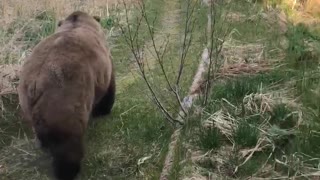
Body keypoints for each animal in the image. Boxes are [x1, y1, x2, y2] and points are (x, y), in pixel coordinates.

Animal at [17, 11, 115, 180]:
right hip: (64, 98)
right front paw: (103, 110)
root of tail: (35, 85)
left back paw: (44, 144)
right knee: (67, 143)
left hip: (27, 103)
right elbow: (109, 87)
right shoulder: (103, 64)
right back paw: (68, 170)